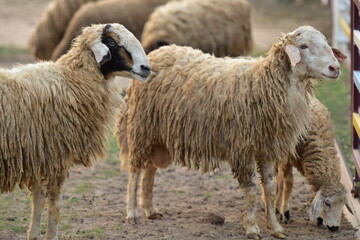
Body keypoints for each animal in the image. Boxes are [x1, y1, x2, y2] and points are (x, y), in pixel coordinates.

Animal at [0, 23, 150, 240]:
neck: (70, 81)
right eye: (112, 42)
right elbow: (54, 204)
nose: (146, 68)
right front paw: (50, 235)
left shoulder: (38, 155)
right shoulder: (55, 157)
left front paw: (33, 235)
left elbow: (38, 199)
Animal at [116, 25, 346, 239]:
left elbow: (270, 189)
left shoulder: (268, 149)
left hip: (157, 135)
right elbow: (251, 190)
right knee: (135, 171)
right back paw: (132, 213)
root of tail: (156, 53)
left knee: (150, 170)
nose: (335, 68)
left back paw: (150, 209)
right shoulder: (242, 149)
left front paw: (275, 227)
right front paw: (252, 228)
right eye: (303, 46)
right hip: (140, 127)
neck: (265, 84)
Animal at [276, 95, 354, 232]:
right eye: (327, 203)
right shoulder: (287, 159)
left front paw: (320, 219)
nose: (335, 228)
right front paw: (284, 213)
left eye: (343, 204)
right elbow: (287, 185)